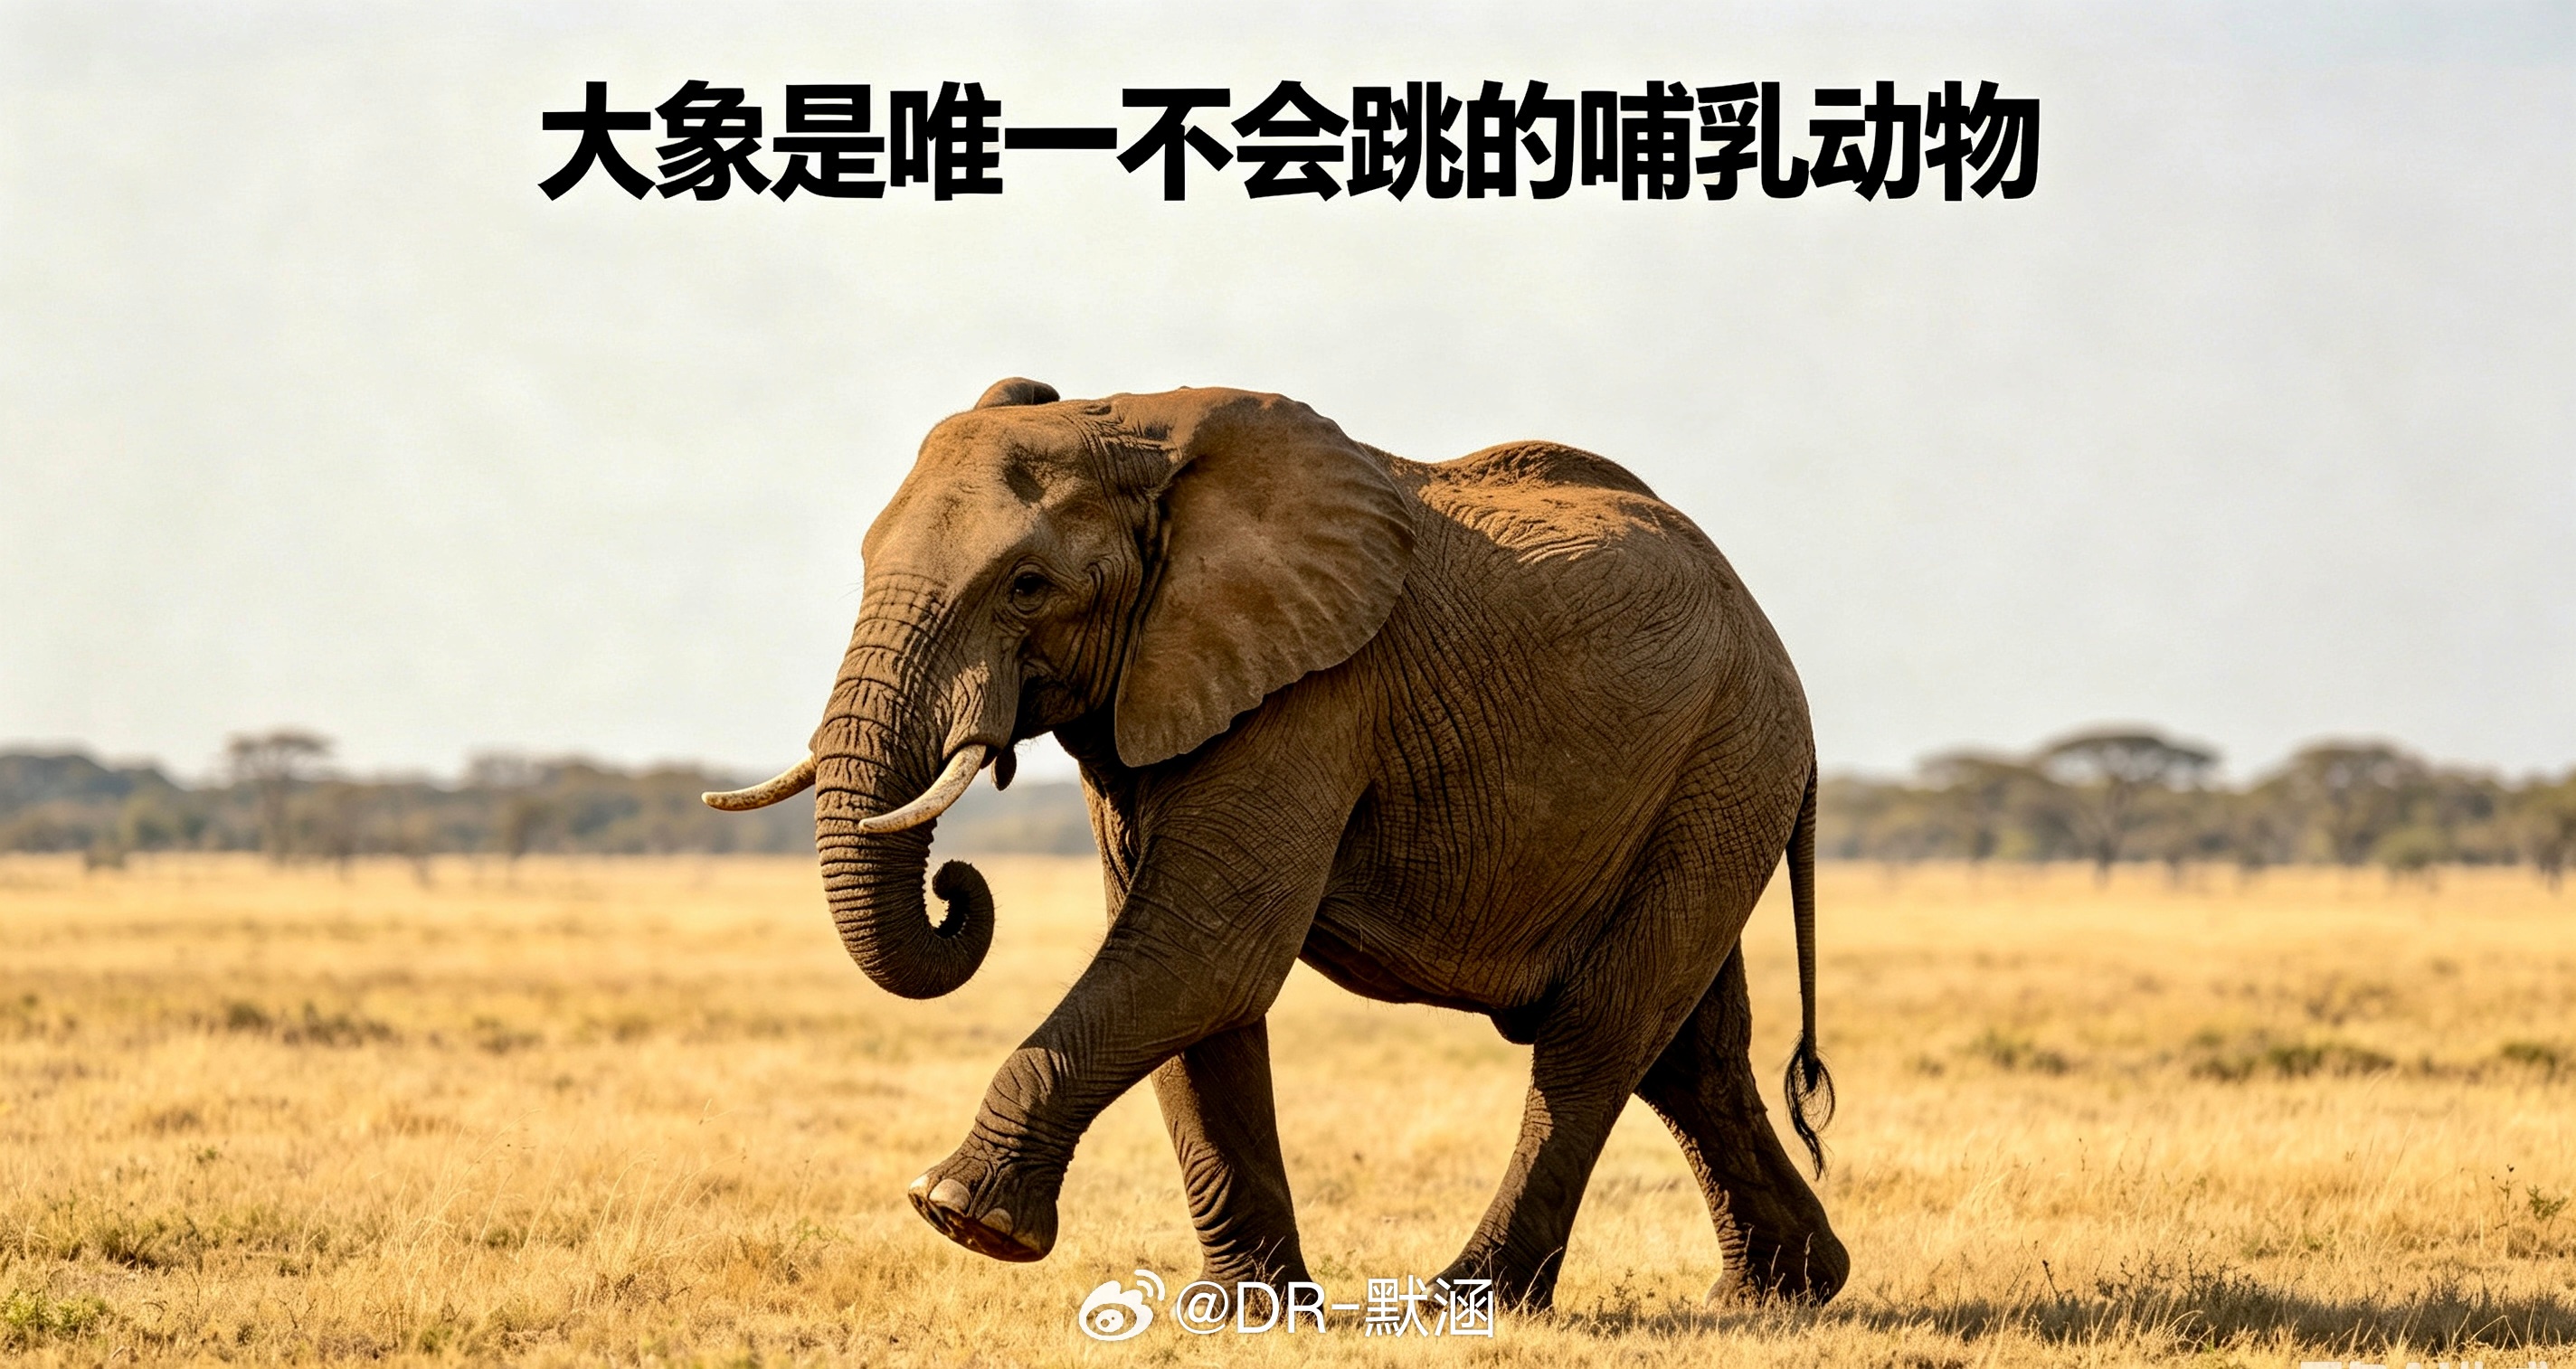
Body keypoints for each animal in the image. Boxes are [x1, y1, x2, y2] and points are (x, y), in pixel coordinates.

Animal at [705, 379, 1846, 1309]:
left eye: (1027, 584)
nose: (957, 883)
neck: (1139, 431)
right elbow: (1184, 974)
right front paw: (1241, 1309)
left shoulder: (1318, 690)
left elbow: (1206, 949)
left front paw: (956, 1214)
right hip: (1706, 784)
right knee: (1687, 1054)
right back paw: (1780, 1293)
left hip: (1727, 759)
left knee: (1594, 1038)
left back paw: (1461, 1300)